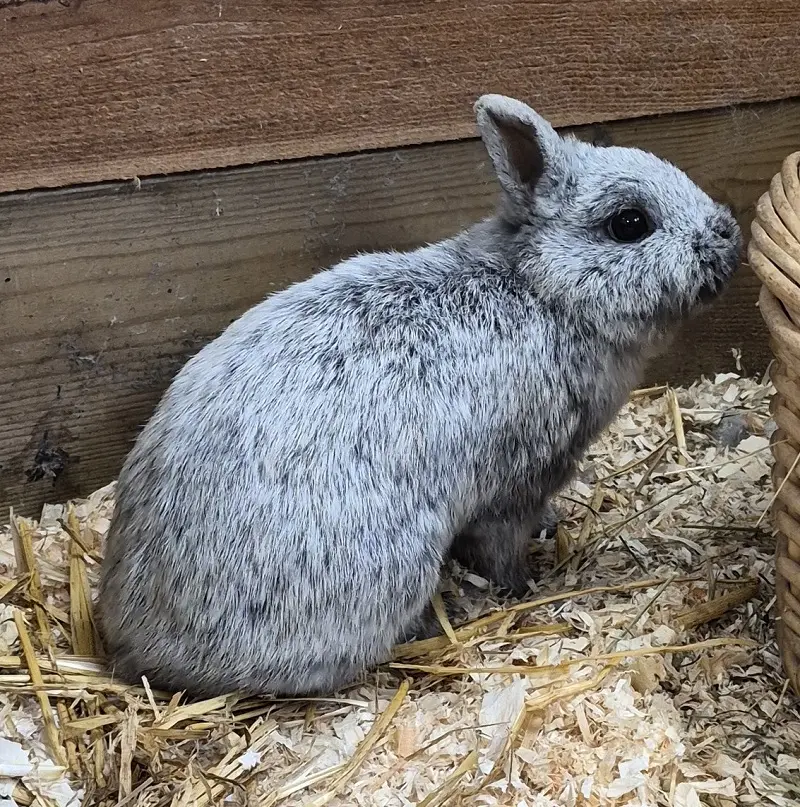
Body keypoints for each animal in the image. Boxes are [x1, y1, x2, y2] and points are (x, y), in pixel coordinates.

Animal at [98, 94, 742, 697]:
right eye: (629, 224)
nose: (727, 235)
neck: (542, 292)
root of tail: (135, 646)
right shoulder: (515, 484)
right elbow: (500, 549)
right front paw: (524, 589)